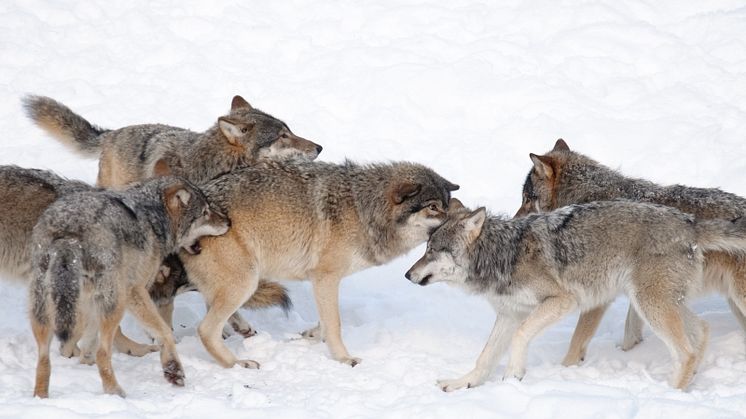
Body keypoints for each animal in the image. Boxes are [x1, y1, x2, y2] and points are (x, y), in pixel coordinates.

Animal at [28, 176, 230, 398]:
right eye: (205, 212)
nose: (228, 222)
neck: (153, 218)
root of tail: (69, 230)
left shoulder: (91, 297)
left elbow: (88, 339)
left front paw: (83, 359)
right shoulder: (136, 290)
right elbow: (165, 332)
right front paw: (173, 369)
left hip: (45, 310)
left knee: (44, 358)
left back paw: (41, 397)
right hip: (115, 303)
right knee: (103, 352)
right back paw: (115, 391)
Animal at [179, 159, 460, 370]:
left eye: (446, 205)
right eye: (433, 207)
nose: (456, 219)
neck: (363, 210)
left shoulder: (322, 282)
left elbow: (325, 321)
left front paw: (312, 336)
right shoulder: (326, 277)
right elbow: (335, 323)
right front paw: (344, 358)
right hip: (245, 281)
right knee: (205, 329)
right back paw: (237, 363)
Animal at [402, 199, 746, 390]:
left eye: (432, 251)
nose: (407, 275)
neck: (505, 255)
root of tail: (691, 223)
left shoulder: (562, 301)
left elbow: (521, 337)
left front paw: (514, 376)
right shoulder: (509, 314)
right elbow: (484, 357)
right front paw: (464, 383)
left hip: (651, 304)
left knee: (685, 351)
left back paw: (669, 393)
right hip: (658, 302)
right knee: (702, 330)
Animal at [516, 139, 746, 366]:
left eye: (527, 198)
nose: (516, 220)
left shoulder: (601, 295)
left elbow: (578, 339)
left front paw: (566, 368)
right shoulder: (638, 290)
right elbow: (631, 330)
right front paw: (628, 353)